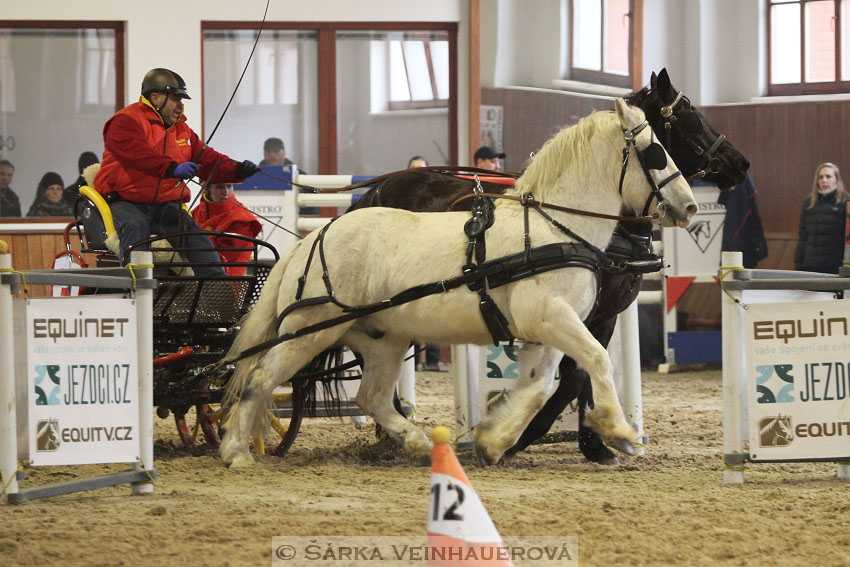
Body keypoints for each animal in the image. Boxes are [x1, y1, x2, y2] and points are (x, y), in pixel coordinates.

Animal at [219, 98, 696, 470]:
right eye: (655, 151)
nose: (689, 206)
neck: (553, 229)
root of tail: (314, 237)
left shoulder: (547, 329)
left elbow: (541, 386)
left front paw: (494, 440)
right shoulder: (553, 318)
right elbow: (596, 361)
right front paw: (619, 432)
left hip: (383, 340)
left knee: (373, 398)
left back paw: (417, 443)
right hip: (309, 331)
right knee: (259, 377)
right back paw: (235, 451)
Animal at [348, 69, 744, 464]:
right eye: (686, 114)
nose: (740, 163)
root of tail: (371, 195)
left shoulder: (603, 316)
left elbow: (580, 373)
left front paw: (592, 442)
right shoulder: (572, 311)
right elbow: (574, 377)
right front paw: (526, 437)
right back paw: (391, 429)